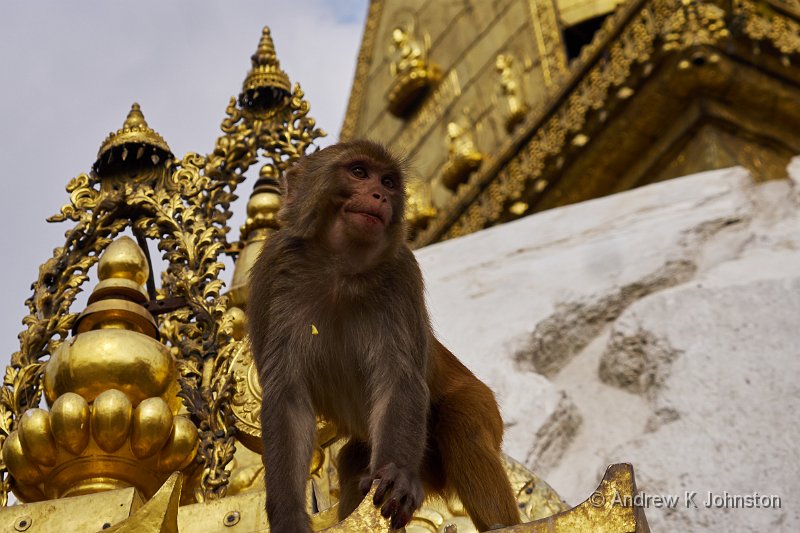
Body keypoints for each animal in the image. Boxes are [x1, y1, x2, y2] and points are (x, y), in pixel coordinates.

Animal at [250, 139, 520, 528]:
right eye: (359, 172)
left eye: (389, 182)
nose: (379, 195)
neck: (340, 269)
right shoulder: (272, 271)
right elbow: (287, 398)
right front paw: (287, 515)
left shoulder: (402, 273)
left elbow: (399, 378)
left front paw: (398, 477)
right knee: (352, 463)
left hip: (477, 404)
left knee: (462, 424)